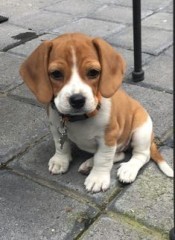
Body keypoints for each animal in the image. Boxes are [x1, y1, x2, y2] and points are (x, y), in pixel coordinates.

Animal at [19, 32, 173, 193]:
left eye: (93, 72)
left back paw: (128, 169)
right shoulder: (56, 128)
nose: (77, 100)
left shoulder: (108, 138)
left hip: (141, 131)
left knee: (141, 155)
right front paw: (60, 160)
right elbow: (61, 145)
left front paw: (97, 178)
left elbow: (102, 159)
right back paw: (89, 164)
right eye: (56, 74)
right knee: (120, 154)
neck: (79, 119)